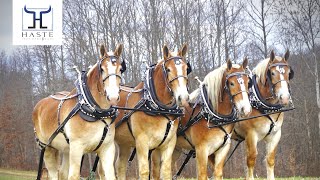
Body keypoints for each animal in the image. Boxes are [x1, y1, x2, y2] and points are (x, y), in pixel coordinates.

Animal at [32, 44, 125, 180]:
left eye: (121, 69)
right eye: (102, 69)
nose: (113, 97)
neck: (96, 112)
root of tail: (39, 105)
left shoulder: (107, 149)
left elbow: (110, 176)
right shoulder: (76, 148)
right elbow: (74, 176)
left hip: (66, 150)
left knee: (62, 173)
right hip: (48, 148)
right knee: (53, 173)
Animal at [113, 44, 190, 179]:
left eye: (186, 68)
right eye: (168, 69)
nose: (183, 98)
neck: (159, 109)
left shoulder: (168, 144)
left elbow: (165, 172)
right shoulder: (142, 142)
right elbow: (144, 171)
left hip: (124, 143)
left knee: (120, 166)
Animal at [231, 50, 294, 180]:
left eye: (288, 73)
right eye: (273, 73)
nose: (285, 97)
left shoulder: (275, 134)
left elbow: (270, 159)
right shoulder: (250, 135)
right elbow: (251, 159)